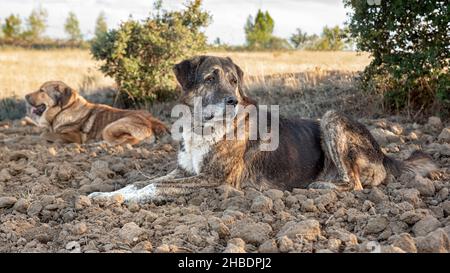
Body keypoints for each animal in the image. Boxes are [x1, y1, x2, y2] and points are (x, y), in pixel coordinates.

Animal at [25, 80, 169, 146]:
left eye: (42, 91)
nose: (25, 96)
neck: (63, 110)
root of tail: (151, 123)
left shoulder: (74, 137)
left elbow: (43, 134)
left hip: (110, 127)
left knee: (130, 141)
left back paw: (99, 145)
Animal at [88, 55, 436, 203]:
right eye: (210, 78)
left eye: (233, 80)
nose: (232, 101)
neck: (204, 126)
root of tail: (385, 154)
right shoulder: (185, 171)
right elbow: (139, 181)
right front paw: (103, 194)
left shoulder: (215, 180)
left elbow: (152, 188)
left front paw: (124, 200)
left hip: (331, 117)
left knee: (356, 184)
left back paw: (318, 187)